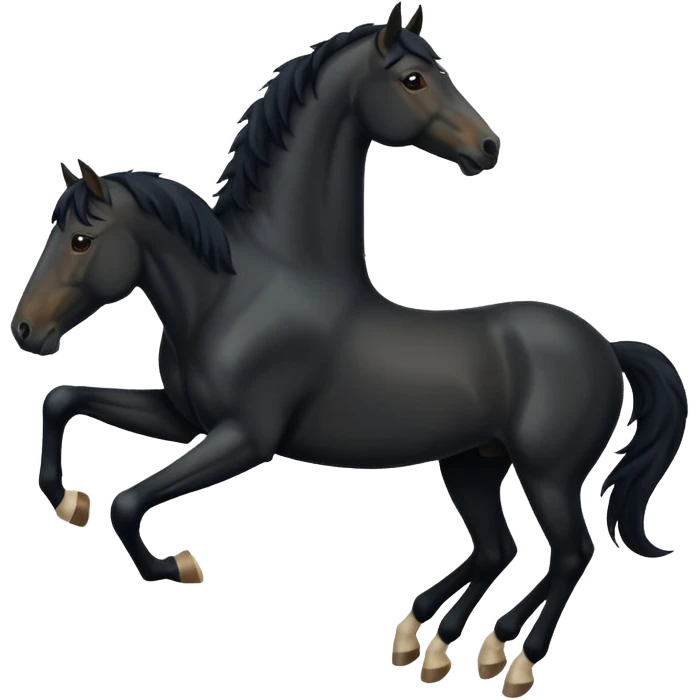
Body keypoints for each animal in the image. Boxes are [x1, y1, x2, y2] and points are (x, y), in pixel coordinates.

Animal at [10, 4, 686, 697]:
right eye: (416, 78)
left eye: (82, 240)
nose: (25, 331)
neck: (241, 292)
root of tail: (608, 346)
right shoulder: (185, 417)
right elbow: (65, 399)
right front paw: (67, 502)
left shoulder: (246, 437)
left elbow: (128, 501)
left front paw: (177, 564)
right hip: (473, 464)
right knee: (499, 549)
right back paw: (433, 642)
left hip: (549, 472)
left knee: (571, 553)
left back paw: (511, 659)